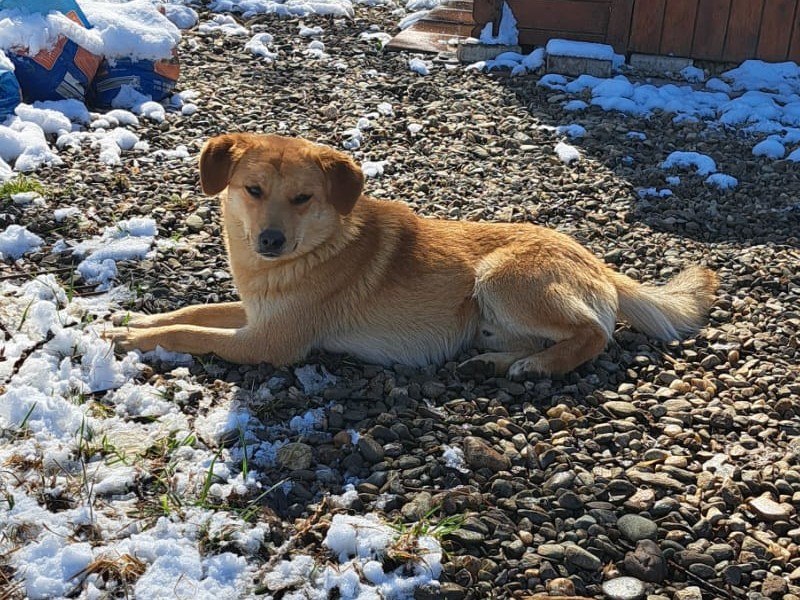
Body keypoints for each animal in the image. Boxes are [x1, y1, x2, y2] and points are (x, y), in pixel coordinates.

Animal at [107, 133, 718, 380]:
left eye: (303, 198)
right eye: (252, 190)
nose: (270, 241)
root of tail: (596, 261)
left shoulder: (270, 341)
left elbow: (192, 333)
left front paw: (135, 338)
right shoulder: (256, 313)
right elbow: (193, 313)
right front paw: (133, 321)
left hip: (500, 276)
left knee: (595, 333)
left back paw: (538, 367)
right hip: (491, 314)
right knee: (553, 335)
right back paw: (496, 362)